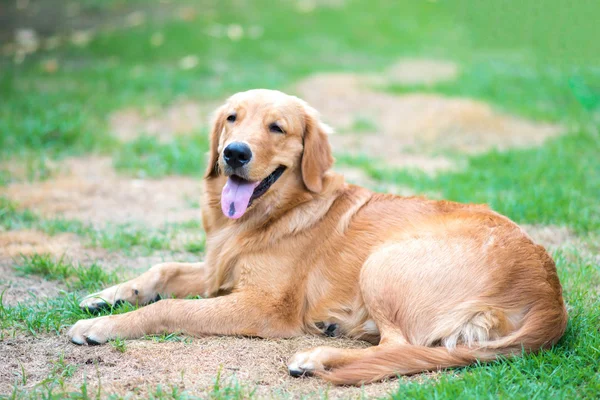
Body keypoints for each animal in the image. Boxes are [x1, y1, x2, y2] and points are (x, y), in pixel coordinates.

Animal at [69, 88, 568, 384]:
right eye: (231, 119)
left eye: (277, 127)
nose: (234, 153)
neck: (272, 214)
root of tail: (552, 297)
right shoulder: (218, 270)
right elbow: (163, 268)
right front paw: (106, 296)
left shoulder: (263, 306)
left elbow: (170, 306)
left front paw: (101, 327)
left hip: (382, 263)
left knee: (399, 348)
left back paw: (317, 357)